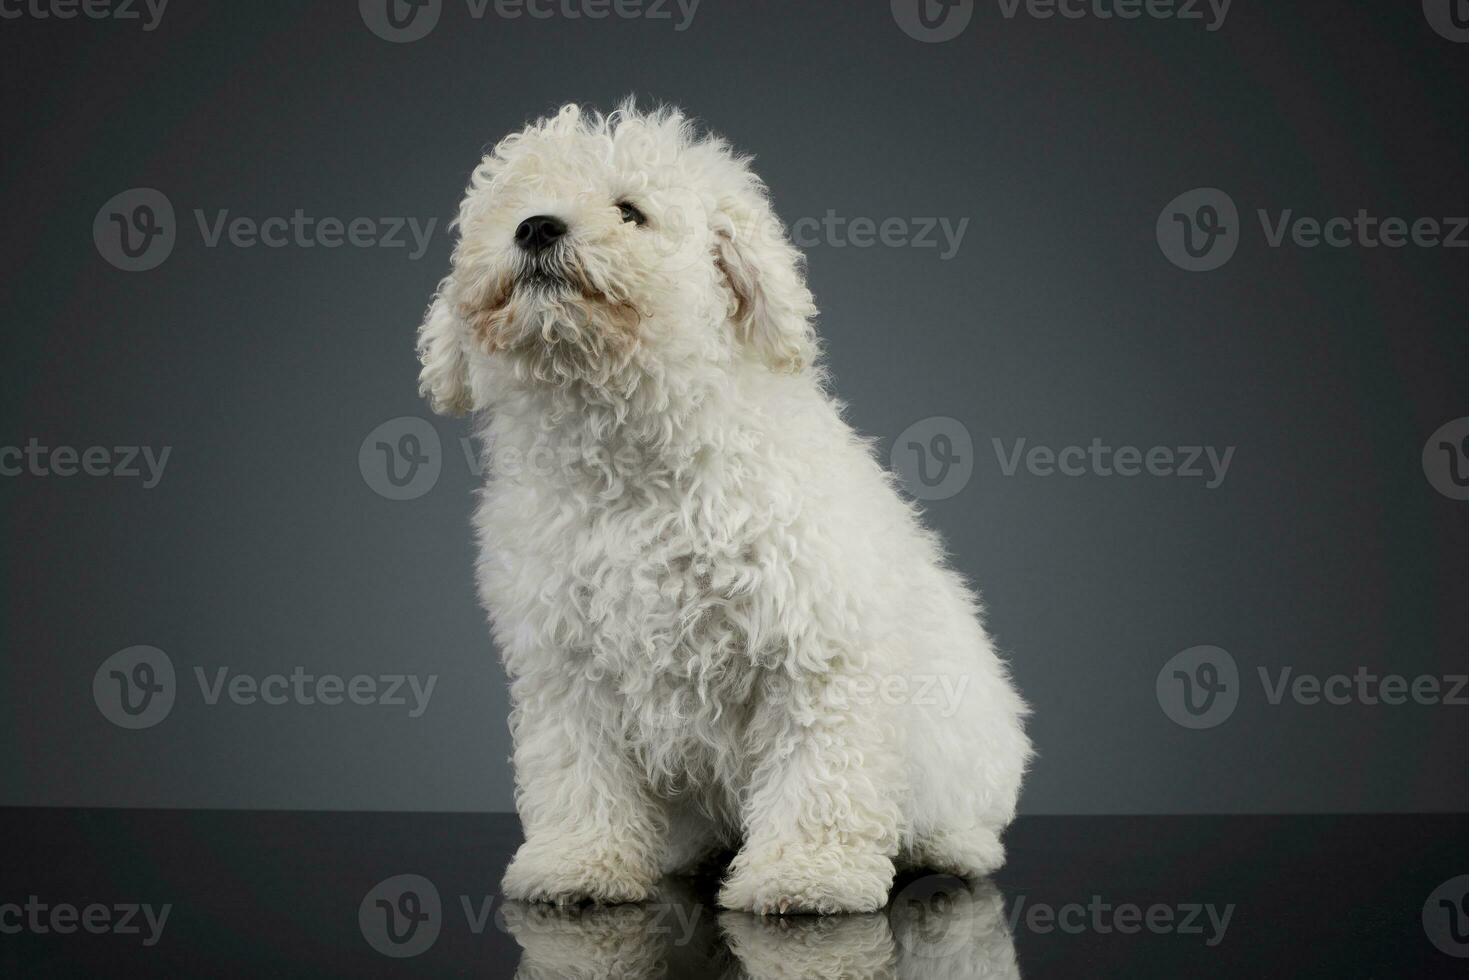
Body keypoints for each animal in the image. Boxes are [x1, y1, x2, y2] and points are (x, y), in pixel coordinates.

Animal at [417, 103, 1034, 916]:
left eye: (630, 210)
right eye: (509, 206)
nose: (536, 228)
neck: (631, 466)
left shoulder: (816, 647)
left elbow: (819, 769)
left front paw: (806, 874)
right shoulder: (567, 665)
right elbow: (578, 772)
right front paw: (580, 862)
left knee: (971, 827)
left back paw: (947, 846)